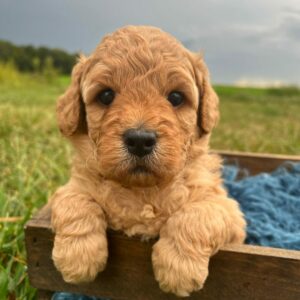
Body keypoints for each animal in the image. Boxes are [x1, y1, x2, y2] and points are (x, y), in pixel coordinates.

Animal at [49, 25, 246, 296]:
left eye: (176, 97)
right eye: (106, 95)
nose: (140, 140)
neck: (141, 191)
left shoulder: (229, 212)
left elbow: (196, 214)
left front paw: (178, 268)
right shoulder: (72, 187)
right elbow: (74, 203)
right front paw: (77, 258)